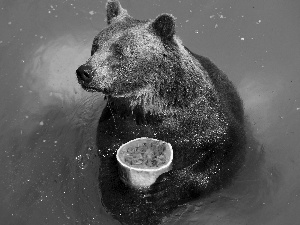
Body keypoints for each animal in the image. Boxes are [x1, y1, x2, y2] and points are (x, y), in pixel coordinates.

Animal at [75, 0, 246, 225]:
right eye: (95, 45)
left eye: (119, 50)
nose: (85, 72)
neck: (151, 106)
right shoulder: (117, 123)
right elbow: (107, 161)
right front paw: (124, 200)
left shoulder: (202, 120)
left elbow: (225, 152)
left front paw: (166, 189)